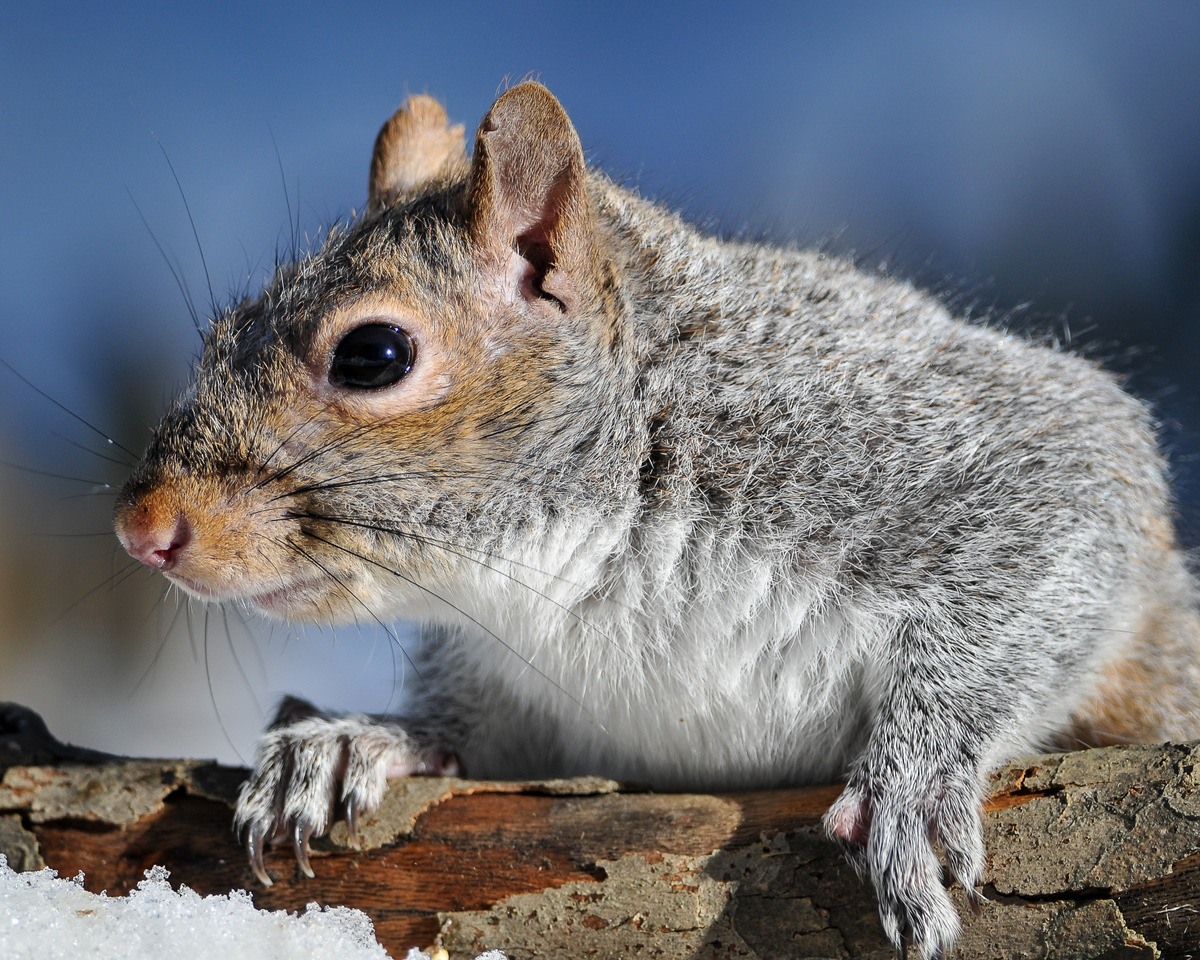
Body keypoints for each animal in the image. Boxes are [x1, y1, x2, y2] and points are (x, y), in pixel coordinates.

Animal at [110, 86, 1200, 955]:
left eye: (372, 354)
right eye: (218, 332)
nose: (142, 529)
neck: (558, 570)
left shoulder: (944, 444)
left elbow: (1059, 525)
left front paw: (918, 778)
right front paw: (358, 740)